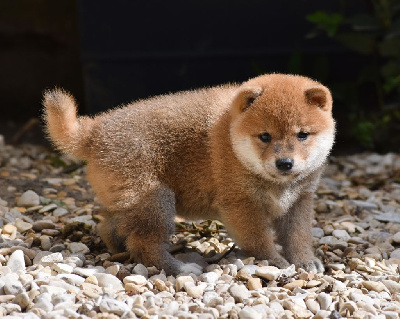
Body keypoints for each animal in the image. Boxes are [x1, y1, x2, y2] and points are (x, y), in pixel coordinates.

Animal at [43, 74, 336, 276]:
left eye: (302, 135)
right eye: (265, 136)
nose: (285, 163)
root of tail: (94, 133)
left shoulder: (299, 202)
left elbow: (298, 236)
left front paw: (304, 260)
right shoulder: (241, 205)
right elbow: (259, 240)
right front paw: (275, 262)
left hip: (128, 201)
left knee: (110, 226)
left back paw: (118, 248)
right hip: (155, 201)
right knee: (144, 243)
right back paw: (180, 268)